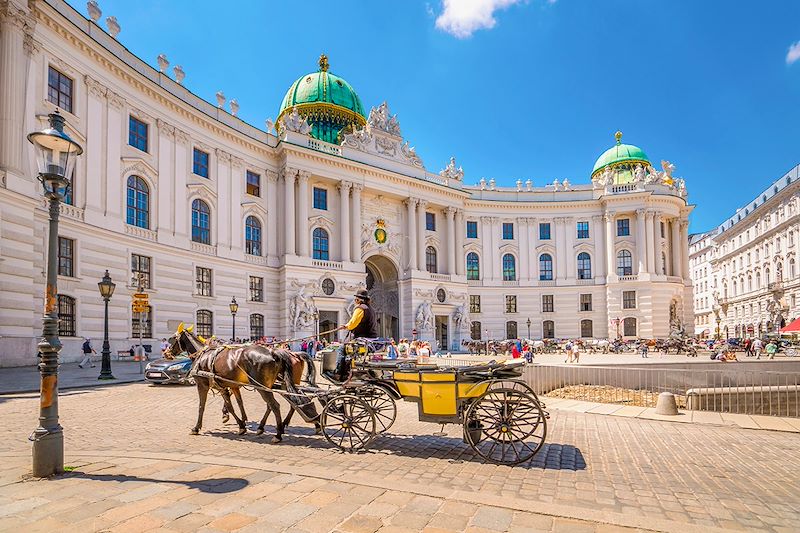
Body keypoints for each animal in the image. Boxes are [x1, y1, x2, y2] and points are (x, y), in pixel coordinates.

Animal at [166, 326, 306, 442]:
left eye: (172, 339)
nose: (166, 353)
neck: (203, 355)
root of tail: (273, 352)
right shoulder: (227, 387)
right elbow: (235, 405)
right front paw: (241, 424)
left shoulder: (203, 385)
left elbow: (202, 406)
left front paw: (196, 427)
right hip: (270, 386)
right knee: (276, 405)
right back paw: (269, 427)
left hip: (262, 386)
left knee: (275, 405)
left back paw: (277, 434)